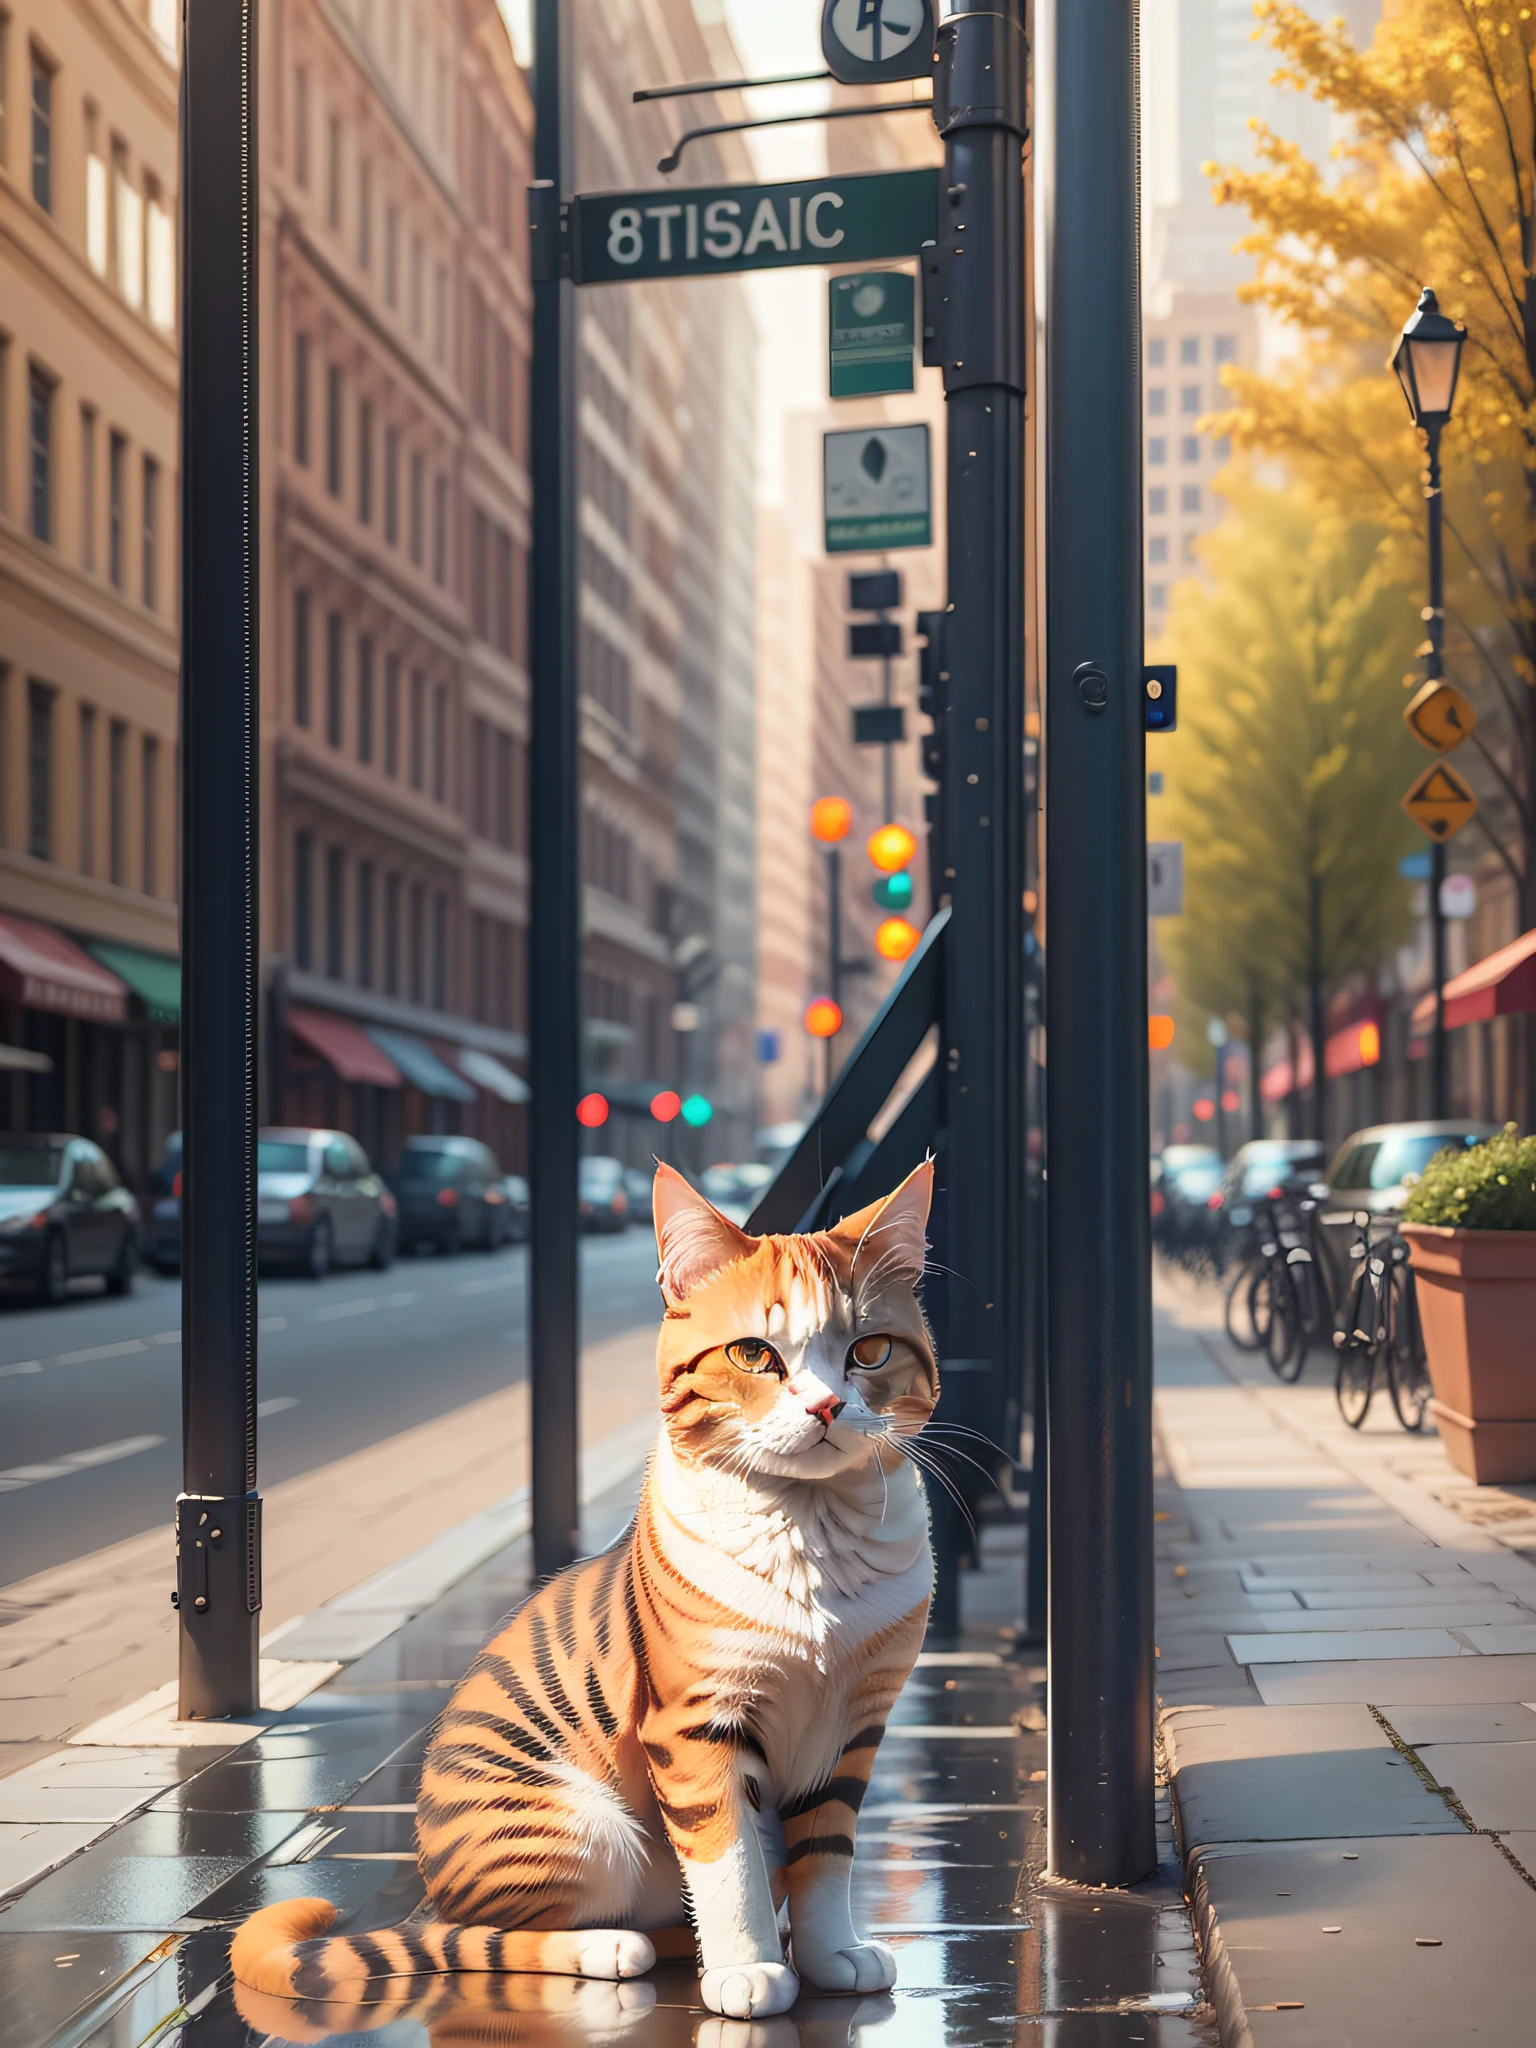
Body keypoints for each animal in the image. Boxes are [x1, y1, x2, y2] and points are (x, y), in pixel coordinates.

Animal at [231, 1163, 937, 2023]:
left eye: (869, 1350)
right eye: (753, 1354)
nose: (828, 1405)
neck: (814, 1529)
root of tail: (427, 1888)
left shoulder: (855, 1724)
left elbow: (827, 1854)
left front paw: (831, 1954)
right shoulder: (696, 1722)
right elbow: (727, 1855)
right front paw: (747, 1970)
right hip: (578, 1825)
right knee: (487, 1933)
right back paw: (616, 1948)